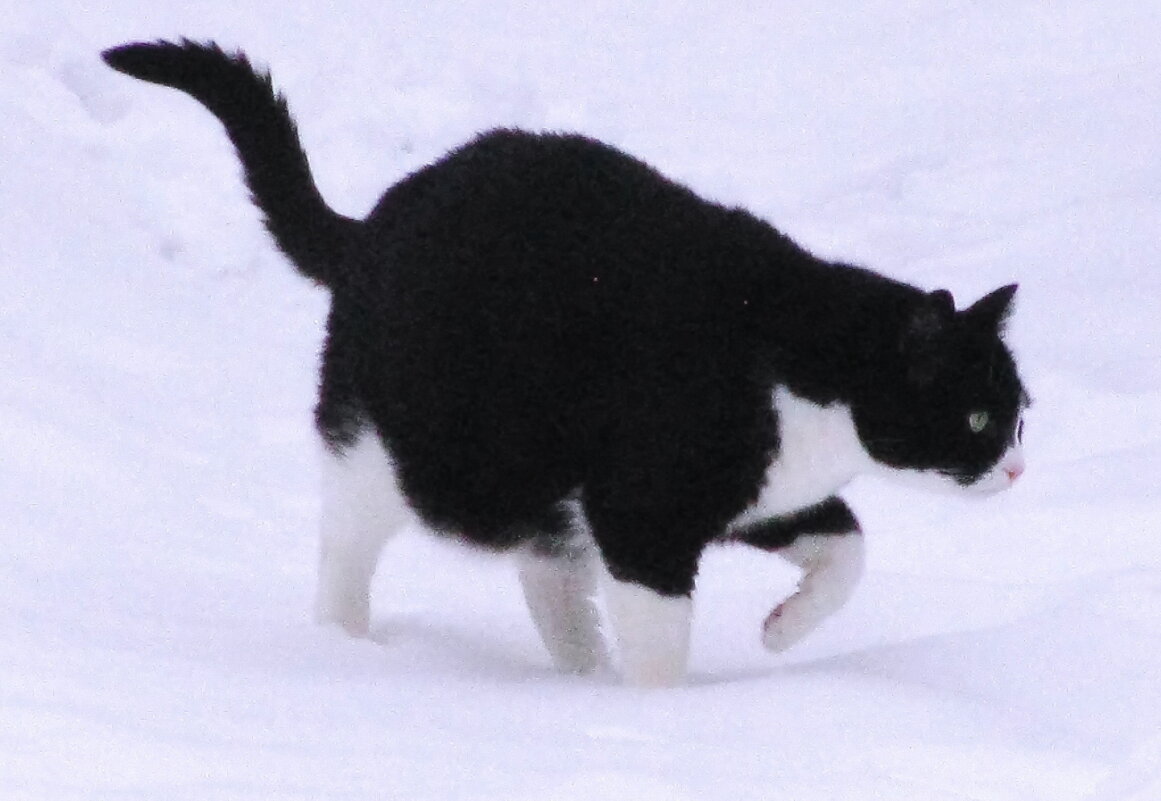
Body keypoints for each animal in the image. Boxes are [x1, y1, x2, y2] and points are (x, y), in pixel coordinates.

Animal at [104, 40, 1030, 682]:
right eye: (977, 415)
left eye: (1020, 415)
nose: (1019, 469)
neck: (799, 372)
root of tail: (370, 227)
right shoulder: (646, 508)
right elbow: (660, 641)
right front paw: (661, 720)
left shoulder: (761, 495)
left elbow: (849, 548)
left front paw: (780, 628)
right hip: (397, 450)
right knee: (346, 546)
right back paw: (348, 646)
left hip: (532, 479)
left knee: (547, 575)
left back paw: (577, 673)